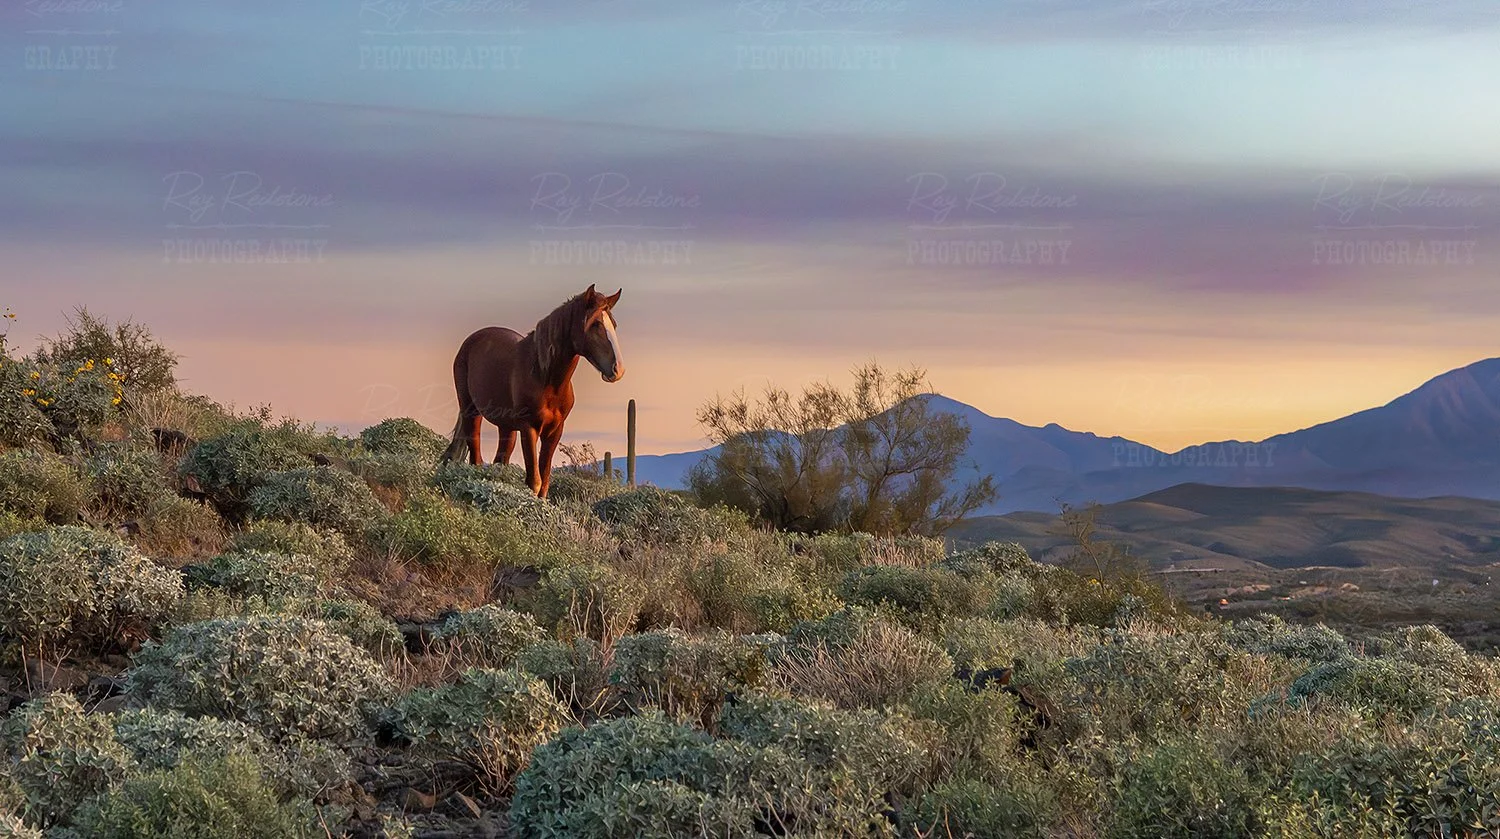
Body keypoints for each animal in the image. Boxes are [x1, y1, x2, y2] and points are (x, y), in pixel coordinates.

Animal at [441, 284, 624, 498]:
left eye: (614, 325)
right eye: (595, 324)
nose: (618, 369)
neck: (546, 379)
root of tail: (470, 341)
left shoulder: (554, 432)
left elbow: (544, 483)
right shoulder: (529, 429)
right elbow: (534, 482)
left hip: (507, 427)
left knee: (499, 462)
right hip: (472, 412)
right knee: (475, 458)